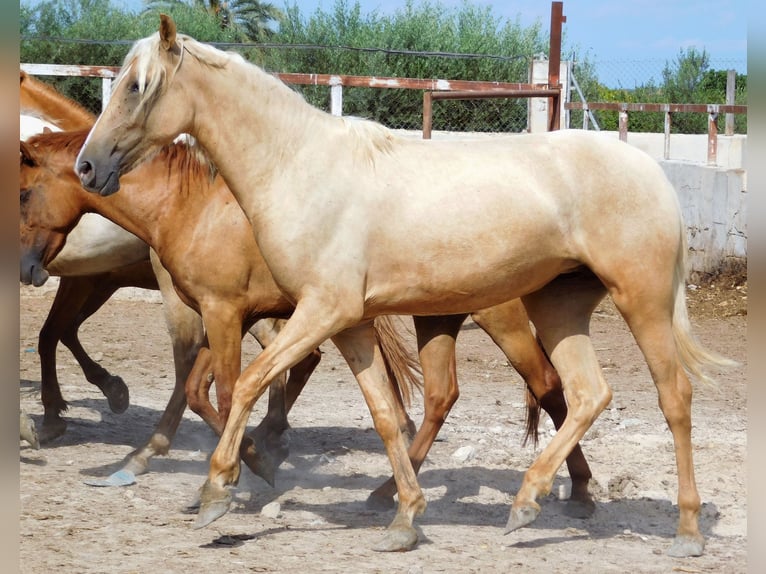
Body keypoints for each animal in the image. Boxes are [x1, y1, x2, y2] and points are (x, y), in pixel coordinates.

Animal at [75, 15, 736, 560]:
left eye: (137, 86)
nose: (88, 165)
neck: (300, 168)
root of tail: (650, 171)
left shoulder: (316, 311)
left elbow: (247, 384)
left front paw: (219, 488)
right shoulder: (350, 323)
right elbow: (387, 415)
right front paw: (404, 518)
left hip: (640, 301)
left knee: (673, 398)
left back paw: (684, 531)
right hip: (558, 307)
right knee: (585, 394)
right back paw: (527, 502)